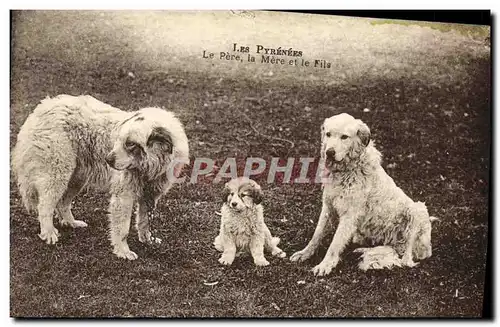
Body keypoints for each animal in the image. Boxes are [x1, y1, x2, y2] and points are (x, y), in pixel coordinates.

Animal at [12, 95, 191, 262]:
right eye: (118, 139)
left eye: (131, 144)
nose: (108, 160)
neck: (150, 165)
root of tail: (44, 106)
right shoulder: (123, 197)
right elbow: (122, 228)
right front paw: (123, 251)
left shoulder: (151, 195)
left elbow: (144, 221)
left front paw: (147, 239)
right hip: (57, 173)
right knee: (45, 206)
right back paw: (48, 232)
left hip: (77, 177)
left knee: (63, 203)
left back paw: (71, 222)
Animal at [290, 114, 438, 276]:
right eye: (328, 134)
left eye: (344, 137)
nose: (329, 152)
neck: (347, 170)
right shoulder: (328, 208)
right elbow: (316, 235)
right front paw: (304, 253)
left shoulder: (349, 215)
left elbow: (335, 243)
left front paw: (325, 264)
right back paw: (365, 250)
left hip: (417, 210)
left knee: (405, 257)